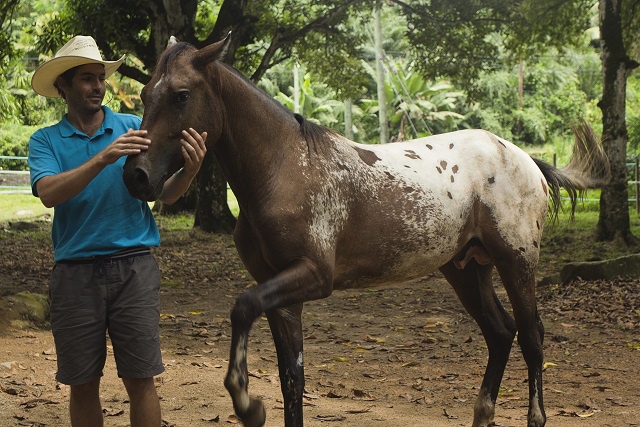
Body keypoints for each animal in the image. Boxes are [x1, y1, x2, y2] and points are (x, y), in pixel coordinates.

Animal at [122, 36, 608, 427]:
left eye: (182, 95)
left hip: (516, 261)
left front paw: (248, 405)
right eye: (144, 93)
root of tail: (527, 159)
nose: (137, 176)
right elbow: (291, 378)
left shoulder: (312, 277)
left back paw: (534, 416)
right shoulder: (279, 290)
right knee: (501, 333)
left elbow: (242, 309)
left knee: (531, 337)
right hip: (465, 269)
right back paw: (482, 413)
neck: (285, 168)